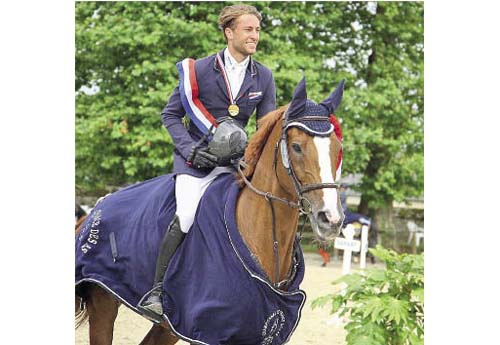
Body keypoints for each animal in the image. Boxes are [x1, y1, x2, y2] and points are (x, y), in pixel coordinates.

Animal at [76, 78, 346, 344]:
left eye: (337, 148)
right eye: (297, 147)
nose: (331, 219)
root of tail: (96, 208)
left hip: (168, 327)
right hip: (103, 300)